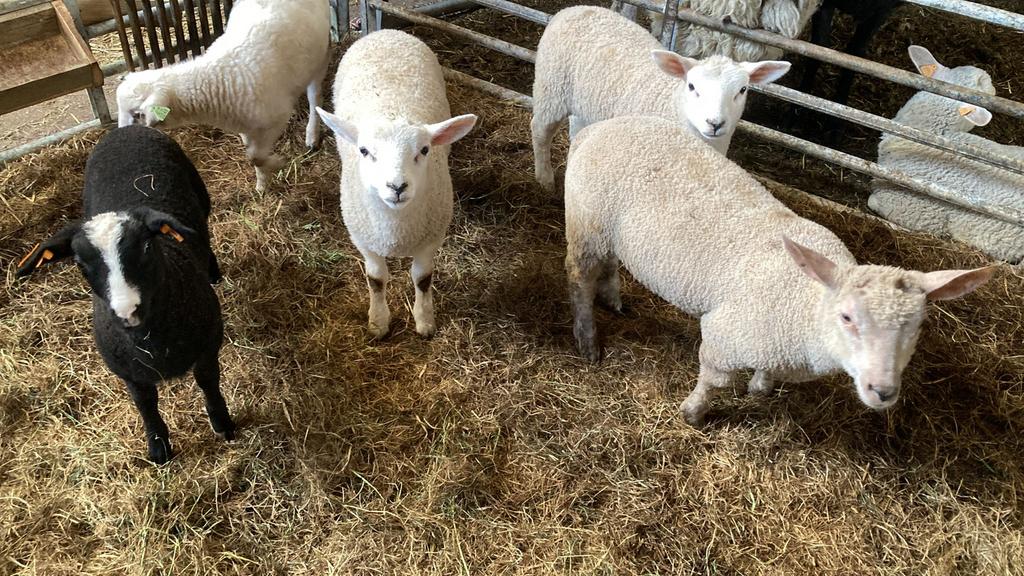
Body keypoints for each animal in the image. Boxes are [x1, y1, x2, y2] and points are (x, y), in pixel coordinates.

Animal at [16, 125, 234, 464]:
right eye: (80, 264)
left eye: (145, 247)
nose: (127, 311)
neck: (152, 343)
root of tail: (124, 129)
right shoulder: (129, 373)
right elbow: (146, 405)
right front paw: (158, 447)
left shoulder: (208, 347)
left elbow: (209, 383)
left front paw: (222, 424)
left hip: (201, 196)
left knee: (204, 233)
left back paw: (212, 271)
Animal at [115, 0, 331, 193]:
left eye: (137, 115)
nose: (121, 138)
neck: (217, 80)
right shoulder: (248, 126)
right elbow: (253, 155)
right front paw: (262, 184)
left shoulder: (276, 118)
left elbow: (255, 157)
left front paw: (277, 163)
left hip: (319, 58)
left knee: (315, 98)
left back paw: (312, 135)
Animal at [315, 30, 477, 339]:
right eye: (364, 151)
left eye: (424, 150)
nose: (397, 186)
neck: (397, 230)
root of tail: (386, 32)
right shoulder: (363, 239)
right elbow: (376, 279)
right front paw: (378, 323)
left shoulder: (432, 237)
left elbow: (422, 278)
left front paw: (424, 322)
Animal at [532, 6, 790, 192]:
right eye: (692, 86)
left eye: (743, 89)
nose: (715, 123)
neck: (674, 105)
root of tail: (572, 9)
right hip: (551, 90)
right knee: (539, 130)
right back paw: (544, 179)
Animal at [563, 115, 994, 425]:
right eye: (846, 317)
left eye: (918, 325)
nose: (883, 391)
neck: (805, 306)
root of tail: (598, 128)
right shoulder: (724, 339)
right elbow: (713, 381)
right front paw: (693, 413)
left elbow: (765, 376)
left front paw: (759, 387)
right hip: (587, 222)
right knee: (579, 279)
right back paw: (587, 339)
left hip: (610, 231)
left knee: (610, 262)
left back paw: (614, 299)